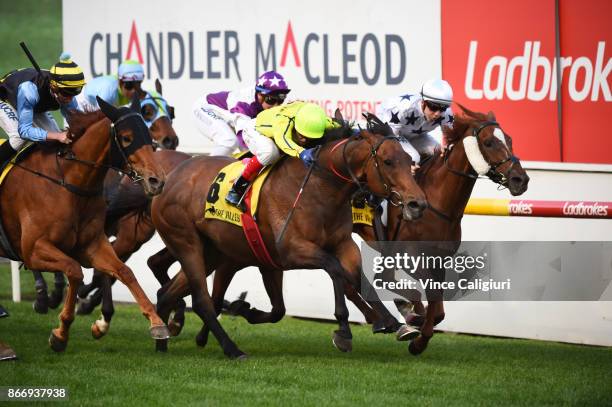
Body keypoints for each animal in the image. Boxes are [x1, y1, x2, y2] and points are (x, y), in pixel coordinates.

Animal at [0, 95, 170, 350]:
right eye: (127, 138)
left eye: (148, 137)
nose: (156, 181)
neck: (69, 183)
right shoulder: (32, 250)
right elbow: (74, 270)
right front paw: (61, 333)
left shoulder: (92, 244)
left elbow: (124, 271)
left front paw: (156, 323)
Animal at [30, 79, 179, 316]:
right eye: (147, 111)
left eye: (170, 111)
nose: (170, 139)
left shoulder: (126, 237)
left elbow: (109, 269)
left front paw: (88, 300)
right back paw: (44, 294)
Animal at [151, 116, 428, 358]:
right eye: (388, 161)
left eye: (408, 159)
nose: (418, 203)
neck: (319, 188)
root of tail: (170, 178)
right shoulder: (292, 250)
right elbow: (334, 269)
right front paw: (344, 330)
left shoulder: (340, 245)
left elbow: (355, 277)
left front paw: (390, 321)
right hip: (187, 243)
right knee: (202, 300)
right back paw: (232, 350)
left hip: (211, 253)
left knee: (167, 294)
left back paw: (162, 340)